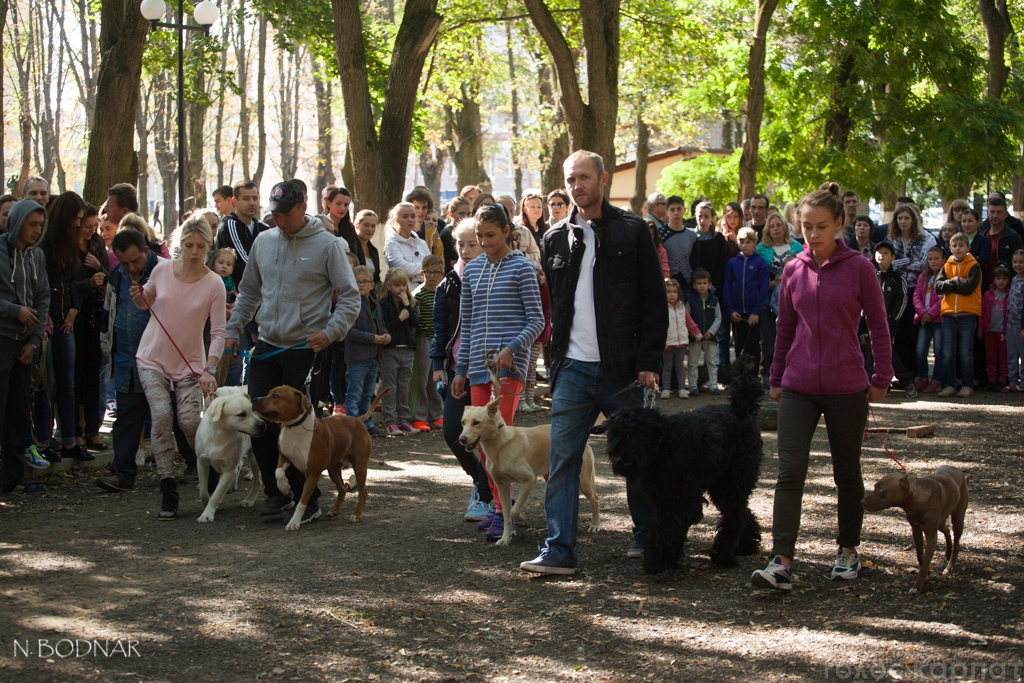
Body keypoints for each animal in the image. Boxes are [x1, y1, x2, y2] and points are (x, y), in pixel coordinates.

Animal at [192, 385, 264, 524]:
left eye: (253, 410)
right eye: (241, 414)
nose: (262, 424)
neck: (219, 434)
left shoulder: (229, 470)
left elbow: (216, 494)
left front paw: (207, 513)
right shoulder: (201, 463)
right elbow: (203, 491)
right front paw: (207, 504)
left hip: (254, 458)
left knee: (258, 481)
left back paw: (249, 499)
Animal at [251, 387, 387, 532]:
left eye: (275, 396)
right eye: (268, 393)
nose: (254, 399)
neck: (294, 428)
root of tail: (358, 420)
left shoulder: (312, 473)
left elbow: (303, 500)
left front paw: (294, 521)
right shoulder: (284, 457)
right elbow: (278, 472)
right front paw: (284, 487)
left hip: (360, 466)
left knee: (363, 492)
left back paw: (356, 515)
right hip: (333, 470)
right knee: (342, 489)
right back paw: (334, 510)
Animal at [458, 397, 598, 548]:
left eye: (476, 422)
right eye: (463, 422)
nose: (462, 439)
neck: (500, 446)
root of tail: (585, 441)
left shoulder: (529, 480)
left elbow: (513, 511)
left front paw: (521, 517)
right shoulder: (502, 487)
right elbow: (506, 516)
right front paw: (505, 538)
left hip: (583, 482)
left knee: (595, 500)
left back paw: (595, 525)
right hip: (553, 477)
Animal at [593, 366, 761, 573]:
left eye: (639, 434)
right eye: (615, 436)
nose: (624, 462)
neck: (661, 446)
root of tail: (741, 411)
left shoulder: (685, 500)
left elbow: (668, 527)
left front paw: (656, 559)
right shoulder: (663, 497)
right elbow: (669, 526)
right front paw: (669, 558)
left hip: (732, 484)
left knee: (734, 516)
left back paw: (724, 555)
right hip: (722, 486)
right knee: (743, 511)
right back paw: (746, 545)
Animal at [864, 464, 966, 593]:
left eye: (881, 490)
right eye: (875, 486)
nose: (861, 501)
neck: (915, 497)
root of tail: (957, 469)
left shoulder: (931, 536)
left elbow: (926, 561)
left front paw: (917, 586)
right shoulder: (916, 530)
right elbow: (920, 555)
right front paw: (927, 572)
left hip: (958, 517)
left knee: (956, 540)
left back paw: (950, 566)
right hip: (940, 521)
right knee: (946, 530)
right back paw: (948, 552)